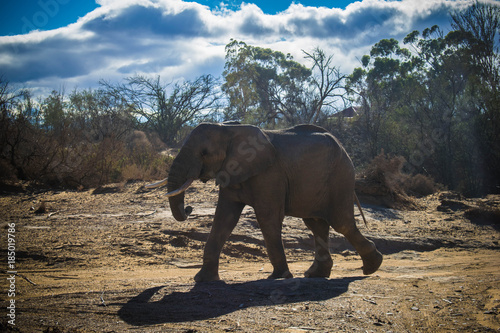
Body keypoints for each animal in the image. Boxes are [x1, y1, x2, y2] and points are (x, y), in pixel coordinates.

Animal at [148, 123, 382, 282]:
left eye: (204, 153)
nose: (189, 208)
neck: (229, 129)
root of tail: (343, 147)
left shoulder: (269, 174)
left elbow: (267, 217)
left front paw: (278, 277)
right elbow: (224, 218)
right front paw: (203, 280)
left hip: (341, 176)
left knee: (341, 223)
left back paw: (371, 267)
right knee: (317, 224)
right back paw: (316, 274)